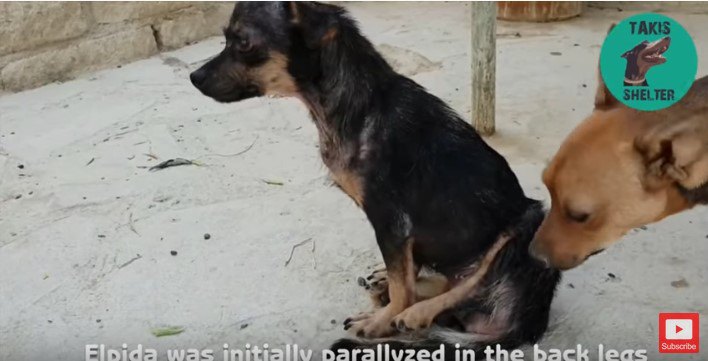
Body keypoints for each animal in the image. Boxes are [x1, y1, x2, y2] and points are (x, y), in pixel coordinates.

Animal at [191, 0, 560, 352]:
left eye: (243, 42)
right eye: (226, 38)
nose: (193, 77)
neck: (357, 106)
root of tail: (529, 323)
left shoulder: (391, 222)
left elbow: (402, 287)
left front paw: (382, 321)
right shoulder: (401, 236)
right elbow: (405, 272)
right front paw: (388, 291)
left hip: (529, 223)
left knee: (472, 284)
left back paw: (415, 313)